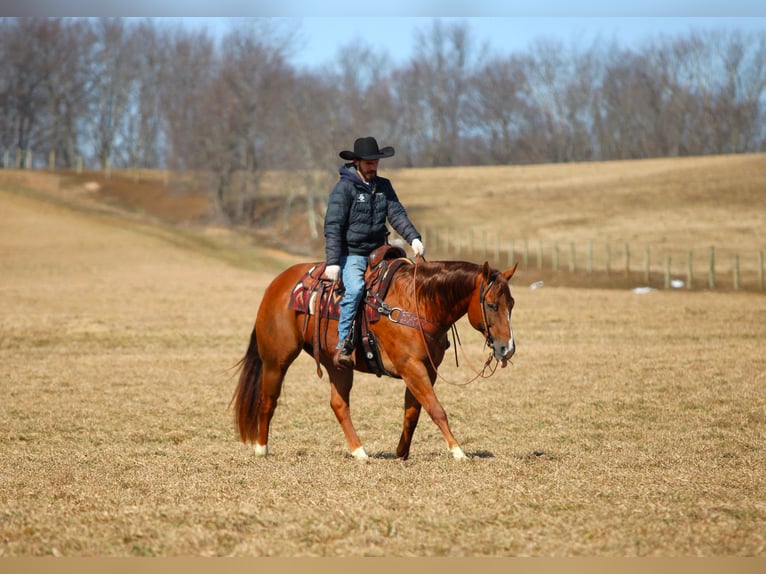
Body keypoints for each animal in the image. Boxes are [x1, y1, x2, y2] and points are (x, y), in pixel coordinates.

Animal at [232, 249, 517, 460]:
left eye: (511, 304)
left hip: (337, 365)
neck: (417, 302)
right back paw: (261, 449)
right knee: (268, 400)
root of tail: (275, 286)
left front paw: (401, 453)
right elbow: (436, 409)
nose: (507, 348)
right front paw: (458, 451)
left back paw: (359, 452)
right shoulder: (410, 366)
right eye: (491, 305)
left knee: (339, 404)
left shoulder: (426, 368)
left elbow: (413, 411)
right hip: (276, 360)